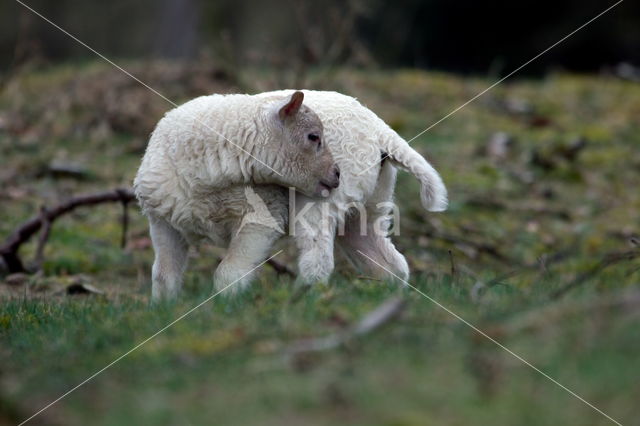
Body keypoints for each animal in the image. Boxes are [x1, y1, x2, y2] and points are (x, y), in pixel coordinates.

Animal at [134, 91, 340, 302]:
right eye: (313, 137)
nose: (337, 173)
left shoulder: (262, 214)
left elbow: (229, 272)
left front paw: (225, 303)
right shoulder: (162, 221)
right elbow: (163, 275)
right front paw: (163, 304)